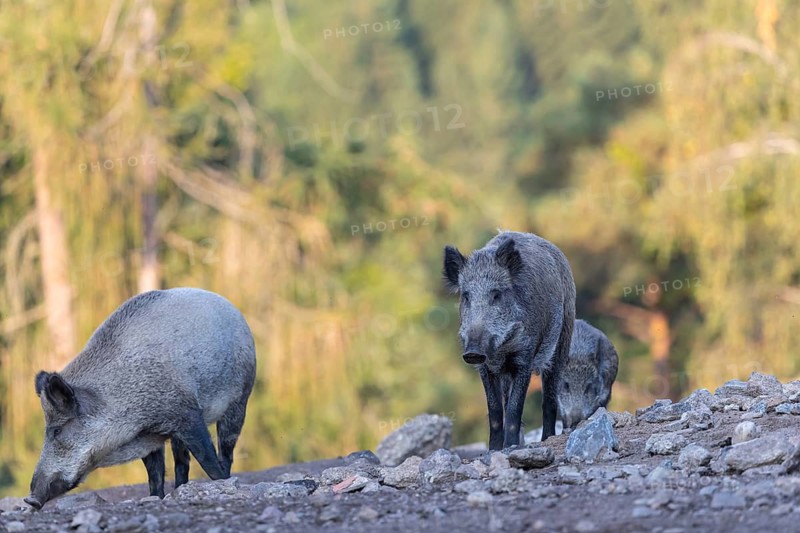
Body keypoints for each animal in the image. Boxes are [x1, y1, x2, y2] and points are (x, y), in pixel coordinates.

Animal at [24, 288, 256, 509]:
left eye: (57, 430)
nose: (30, 499)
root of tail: (232, 308)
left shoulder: (186, 413)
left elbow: (207, 458)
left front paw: (222, 483)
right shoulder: (150, 435)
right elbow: (154, 472)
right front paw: (156, 497)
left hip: (240, 398)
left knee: (226, 448)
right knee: (181, 460)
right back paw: (179, 488)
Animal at [443, 230, 576, 448]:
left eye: (496, 295)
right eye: (466, 296)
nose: (472, 352)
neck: (500, 351)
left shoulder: (524, 359)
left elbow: (515, 409)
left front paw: (510, 447)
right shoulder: (485, 368)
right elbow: (496, 411)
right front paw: (494, 449)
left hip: (562, 341)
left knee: (549, 398)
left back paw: (546, 439)